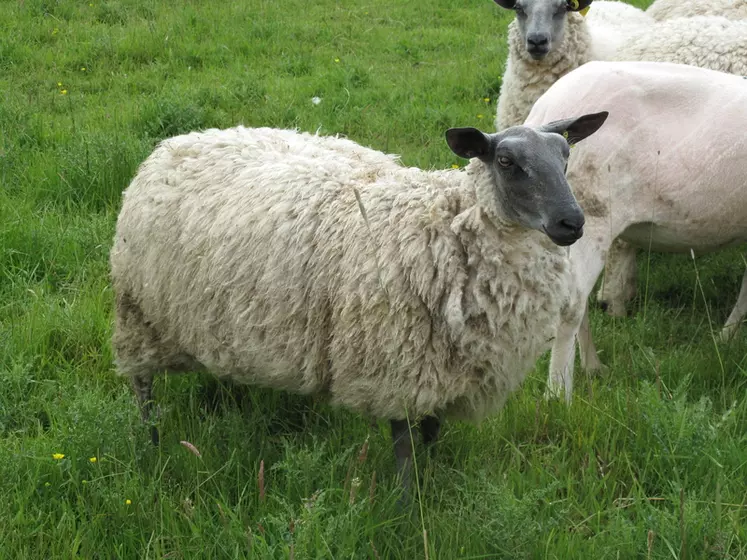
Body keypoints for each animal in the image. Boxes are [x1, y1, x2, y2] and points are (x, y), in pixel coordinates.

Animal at [112, 115, 612, 490]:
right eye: (506, 161)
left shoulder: (444, 371)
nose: (572, 222)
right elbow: (405, 454)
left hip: (224, 314)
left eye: (566, 156)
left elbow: (431, 436)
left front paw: (434, 483)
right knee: (142, 386)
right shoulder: (398, 369)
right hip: (138, 313)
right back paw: (153, 443)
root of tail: (181, 141)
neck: (446, 225)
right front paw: (409, 510)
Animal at [524, 61, 747, 400]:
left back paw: (592, 366)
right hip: (592, 215)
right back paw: (558, 394)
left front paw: (726, 337)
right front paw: (728, 337)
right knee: (571, 305)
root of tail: (545, 108)